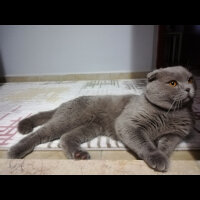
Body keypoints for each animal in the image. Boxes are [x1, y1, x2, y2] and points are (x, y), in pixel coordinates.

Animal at [7, 66, 195, 172]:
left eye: (190, 79)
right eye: (173, 83)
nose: (188, 89)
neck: (169, 113)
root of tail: (64, 103)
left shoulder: (175, 134)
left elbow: (166, 146)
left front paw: (160, 156)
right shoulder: (128, 123)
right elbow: (144, 142)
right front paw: (155, 157)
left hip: (90, 127)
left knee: (65, 138)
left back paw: (78, 155)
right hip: (69, 119)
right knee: (40, 134)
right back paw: (15, 152)